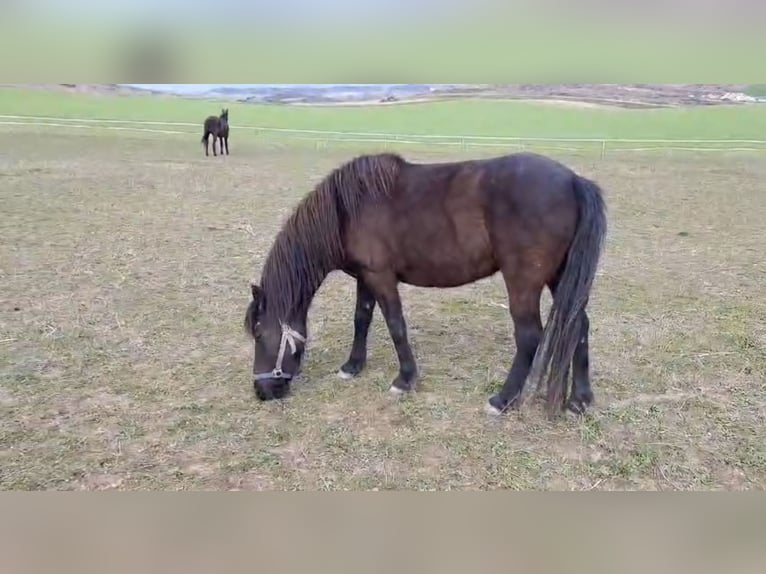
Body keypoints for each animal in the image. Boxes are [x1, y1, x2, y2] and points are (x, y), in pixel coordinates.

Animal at [243, 151, 608, 416]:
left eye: (259, 333)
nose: (262, 391)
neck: (348, 211)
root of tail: (574, 181)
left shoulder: (381, 277)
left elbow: (395, 325)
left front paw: (405, 380)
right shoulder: (366, 277)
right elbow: (362, 319)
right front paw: (353, 366)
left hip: (523, 281)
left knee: (530, 336)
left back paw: (502, 400)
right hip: (561, 277)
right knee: (579, 325)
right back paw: (580, 400)